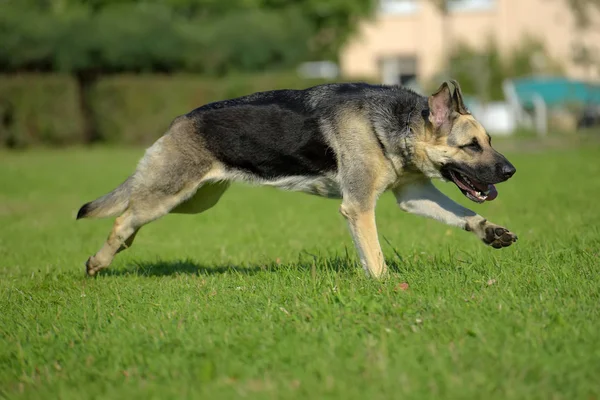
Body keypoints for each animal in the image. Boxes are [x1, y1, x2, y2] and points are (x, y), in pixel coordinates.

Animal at [76, 79, 516, 278]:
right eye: (472, 146)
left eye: (490, 141)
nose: (511, 172)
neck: (397, 126)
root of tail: (178, 121)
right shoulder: (359, 208)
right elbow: (375, 258)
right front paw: (388, 287)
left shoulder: (413, 195)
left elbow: (462, 215)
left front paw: (491, 231)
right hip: (172, 193)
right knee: (122, 217)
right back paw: (98, 262)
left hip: (193, 201)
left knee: (130, 215)